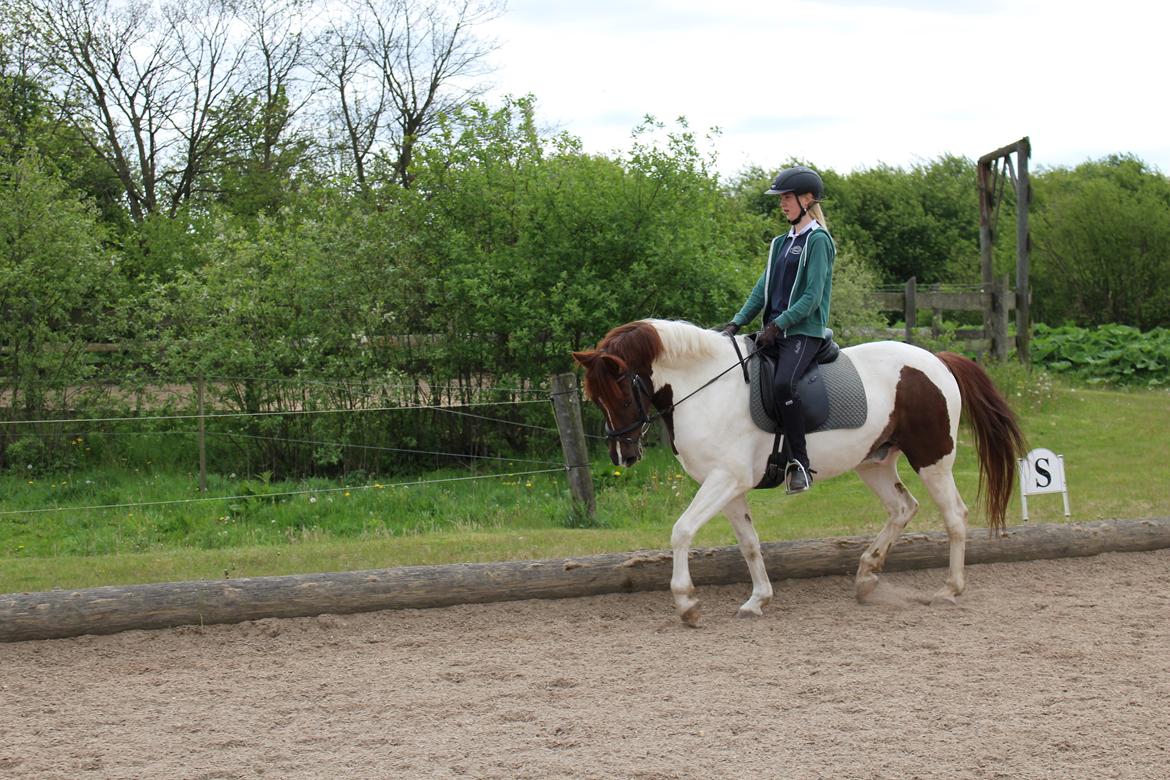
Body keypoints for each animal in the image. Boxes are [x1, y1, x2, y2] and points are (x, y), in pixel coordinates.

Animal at [573, 318, 1024, 626]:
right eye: (595, 399)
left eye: (621, 394)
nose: (623, 456)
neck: (704, 387)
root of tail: (936, 360)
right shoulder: (730, 487)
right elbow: (749, 543)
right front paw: (758, 600)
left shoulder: (725, 479)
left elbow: (681, 531)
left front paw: (686, 603)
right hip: (874, 462)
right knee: (902, 508)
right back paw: (867, 576)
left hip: (932, 459)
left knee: (954, 517)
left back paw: (948, 590)